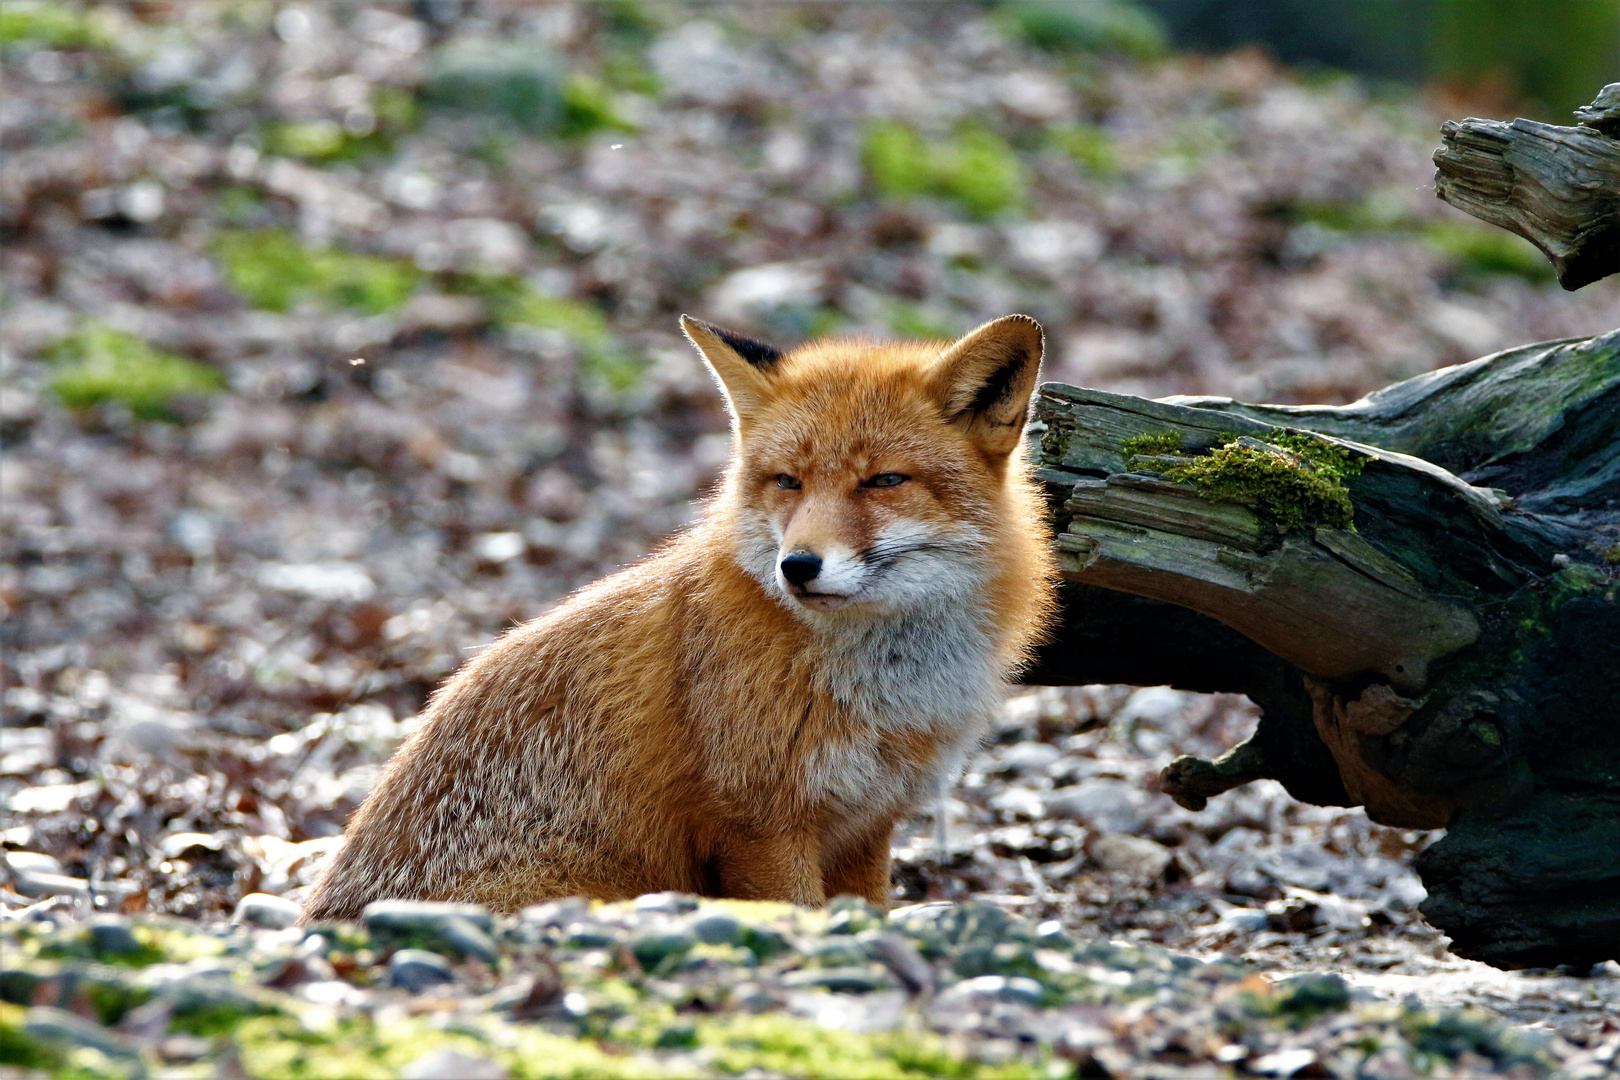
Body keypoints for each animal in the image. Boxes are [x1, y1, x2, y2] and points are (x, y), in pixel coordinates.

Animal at [301, 312, 1062, 919]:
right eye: (787, 482)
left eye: (884, 481)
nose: (798, 566)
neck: (882, 686)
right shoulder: (761, 825)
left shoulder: (867, 825)